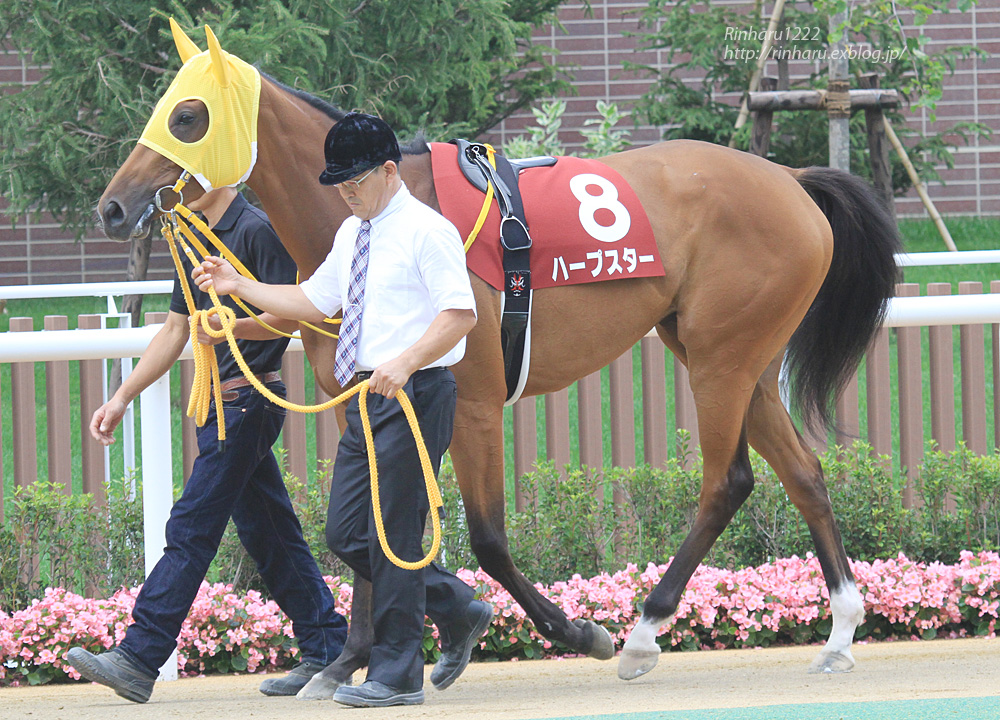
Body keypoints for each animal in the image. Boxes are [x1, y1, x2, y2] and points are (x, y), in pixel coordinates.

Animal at [97, 25, 904, 688]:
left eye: (187, 116)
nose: (112, 206)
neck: (369, 212)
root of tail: (791, 179)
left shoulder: (474, 403)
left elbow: (480, 536)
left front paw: (571, 630)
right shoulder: (363, 398)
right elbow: (365, 530)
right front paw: (348, 661)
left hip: (721, 360)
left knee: (727, 482)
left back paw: (642, 633)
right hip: (741, 357)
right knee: (803, 473)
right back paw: (839, 631)